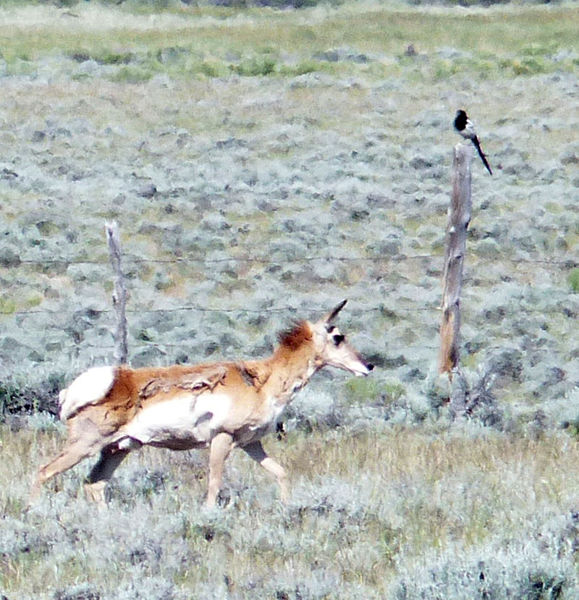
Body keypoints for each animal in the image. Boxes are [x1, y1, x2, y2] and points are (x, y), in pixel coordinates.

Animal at [31, 300, 374, 506]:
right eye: (338, 337)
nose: (368, 365)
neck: (262, 380)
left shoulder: (251, 444)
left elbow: (281, 473)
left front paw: (288, 507)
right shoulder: (221, 439)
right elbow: (214, 484)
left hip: (117, 449)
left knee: (94, 484)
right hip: (84, 446)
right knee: (44, 472)